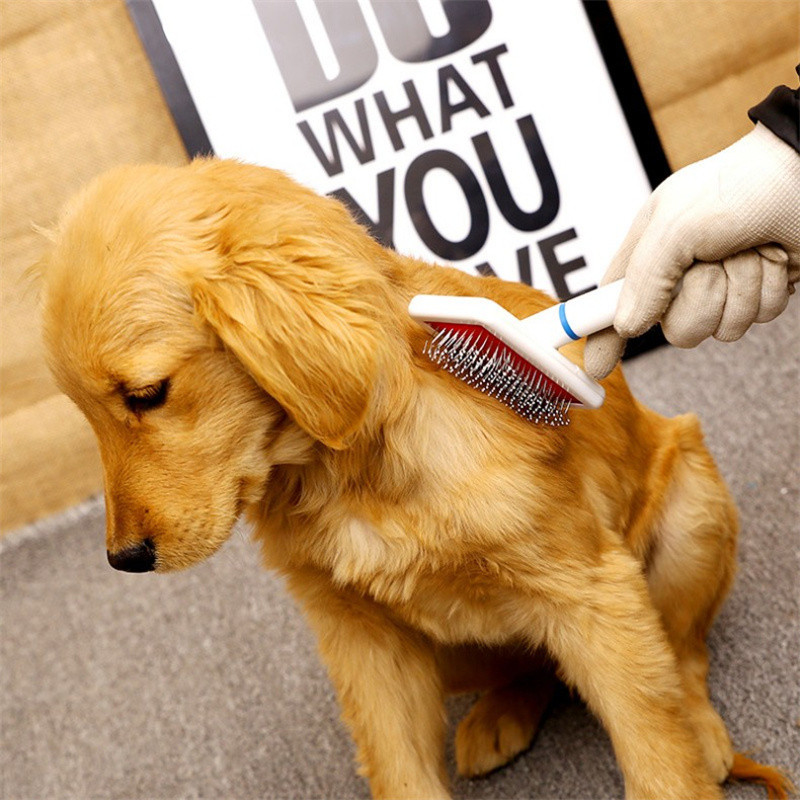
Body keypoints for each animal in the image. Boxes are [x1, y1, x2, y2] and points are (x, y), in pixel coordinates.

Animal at [40, 159, 792, 796]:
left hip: (691, 507)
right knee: (537, 663)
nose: (124, 559)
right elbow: (398, 762)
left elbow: (654, 744)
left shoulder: (593, 591)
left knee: (682, 655)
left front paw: (677, 760)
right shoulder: (358, 634)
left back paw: (703, 730)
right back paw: (499, 715)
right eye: (86, 413)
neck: (342, 470)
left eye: (147, 394)